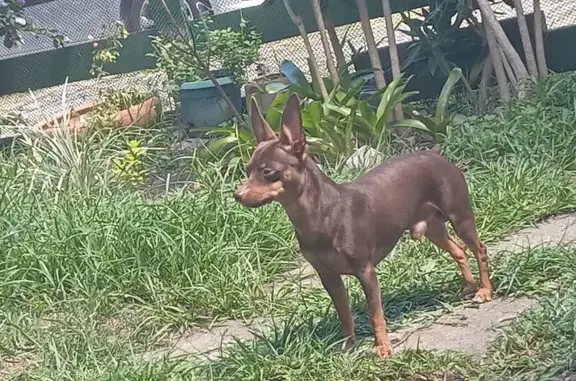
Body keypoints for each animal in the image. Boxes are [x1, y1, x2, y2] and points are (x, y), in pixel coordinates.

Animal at [232, 93, 492, 356]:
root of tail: (434, 153)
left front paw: (382, 347)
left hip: (460, 217)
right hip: (433, 228)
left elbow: (375, 313)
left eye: (267, 172)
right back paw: (469, 286)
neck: (320, 214)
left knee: (478, 249)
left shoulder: (366, 272)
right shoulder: (329, 277)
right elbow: (344, 314)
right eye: (247, 170)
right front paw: (348, 345)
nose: (237, 195)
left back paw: (484, 290)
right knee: (459, 249)